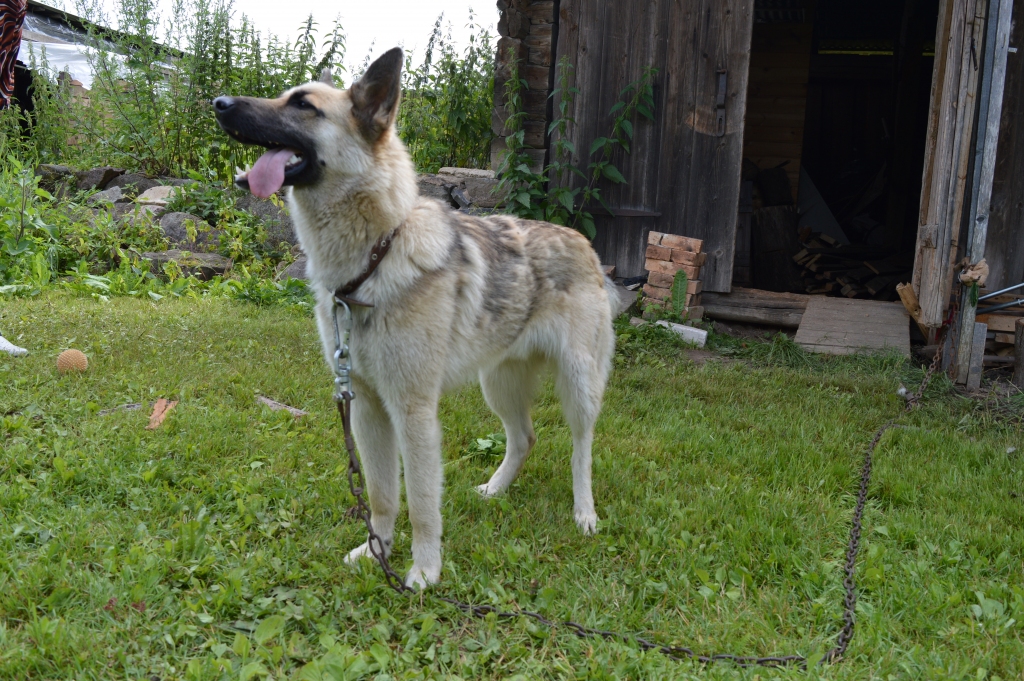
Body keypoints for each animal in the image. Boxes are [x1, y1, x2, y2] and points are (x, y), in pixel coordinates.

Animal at [215, 49, 610, 589]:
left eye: (302, 105)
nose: (218, 102)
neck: (375, 257)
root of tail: (582, 241)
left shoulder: (413, 412)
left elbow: (423, 504)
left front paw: (424, 572)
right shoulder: (367, 409)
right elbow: (382, 495)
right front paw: (375, 551)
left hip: (578, 387)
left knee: (581, 448)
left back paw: (584, 512)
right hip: (498, 385)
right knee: (524, 438)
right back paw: (495, 489)